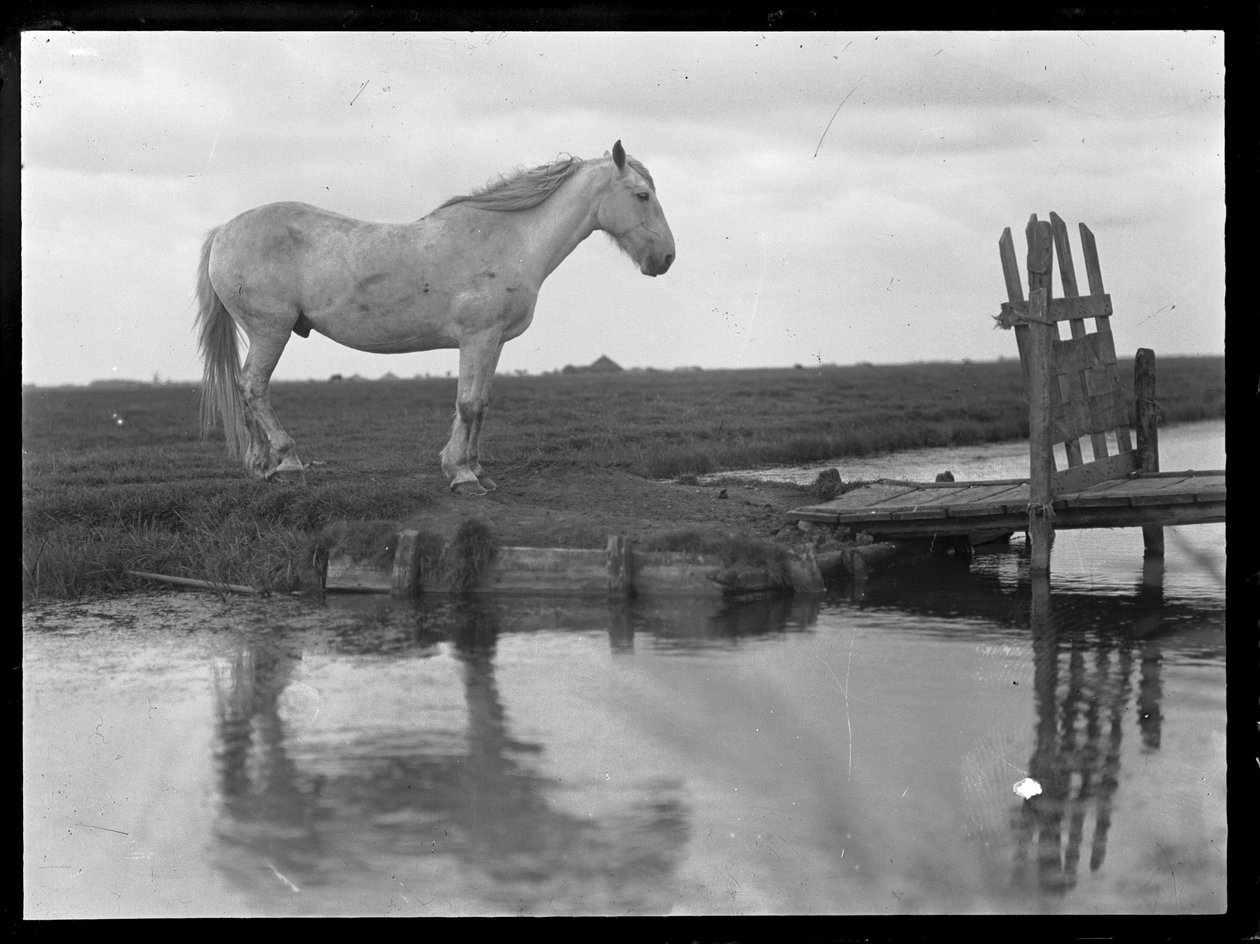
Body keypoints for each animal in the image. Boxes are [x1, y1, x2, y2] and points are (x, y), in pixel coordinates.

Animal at [195, 140, 675, 495]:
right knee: (253, 387)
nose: (666, 258)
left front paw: (476, 470)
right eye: (643, 195)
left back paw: (262, 465)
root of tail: (224, 231)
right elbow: (468, 403)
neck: (509, 239)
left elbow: (482, 403)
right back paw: (288, 464)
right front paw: (462, 476)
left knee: (247, 389)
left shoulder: (494, 342)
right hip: (270, 331)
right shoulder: (477, 338)